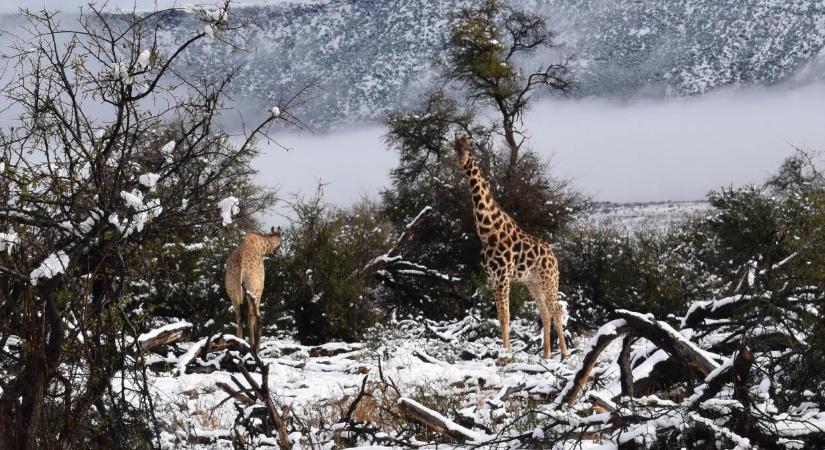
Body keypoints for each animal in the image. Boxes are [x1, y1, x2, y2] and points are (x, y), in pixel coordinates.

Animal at [454, 135, 568, 360]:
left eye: (468, 146)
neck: (488, 230)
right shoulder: (492, 278)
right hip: (533, 282)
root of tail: (554, 257)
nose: (462, 161)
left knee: (557, 309)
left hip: (549, 279)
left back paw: (565, 353)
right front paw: (504, 352)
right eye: (454, 147)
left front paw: (506, 354)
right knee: (545, 311)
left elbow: (506, 316)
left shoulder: (502, 276)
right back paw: (547, 355)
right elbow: (500, 316)